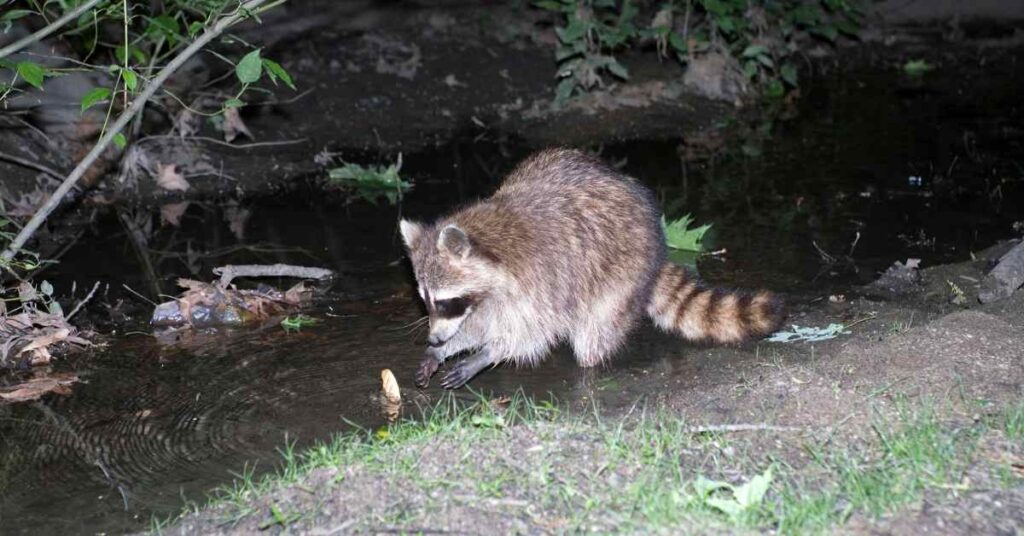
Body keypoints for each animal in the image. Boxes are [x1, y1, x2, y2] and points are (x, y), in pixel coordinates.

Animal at [400, 148, 785, 389]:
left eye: (444, 301)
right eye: (426, 301)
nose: (433, 337)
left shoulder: (545, 281)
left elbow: (533, 333)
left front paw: (488, 353)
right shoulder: (487, 295)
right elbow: (478, 322)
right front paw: (447, 346)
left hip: (622, 277)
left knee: (594, 334)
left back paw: (589, 369)